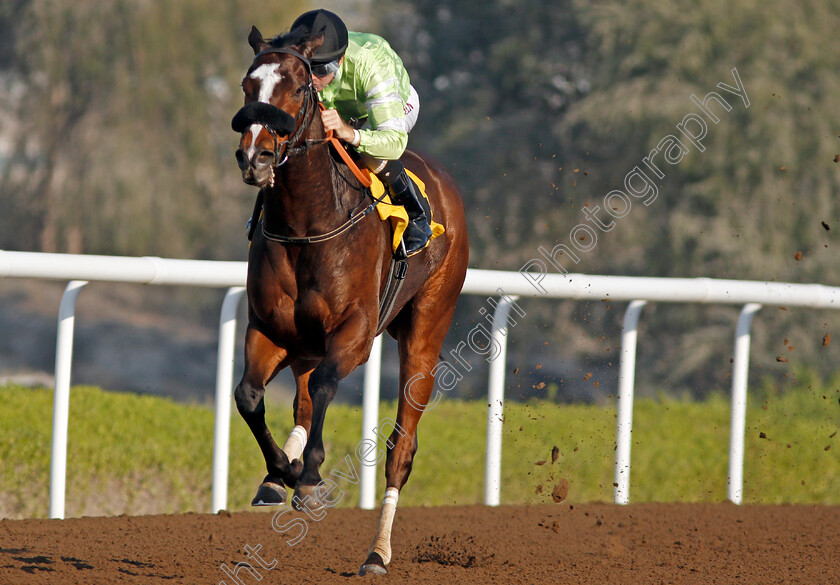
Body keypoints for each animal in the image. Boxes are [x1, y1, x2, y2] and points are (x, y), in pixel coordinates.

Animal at [231, 27, 466, 576]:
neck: (306, 225)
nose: (255, 158)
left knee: (400, 447)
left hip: (427, 329)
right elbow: (249, 395)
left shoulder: (356, 334)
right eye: (248, 85)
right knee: (298, 399)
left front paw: (311, 478)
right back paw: (281, 474)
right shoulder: (268, 328)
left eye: (297, 89)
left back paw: (377, 553)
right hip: (303, 341)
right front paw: (282, 471)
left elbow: (325, 387)